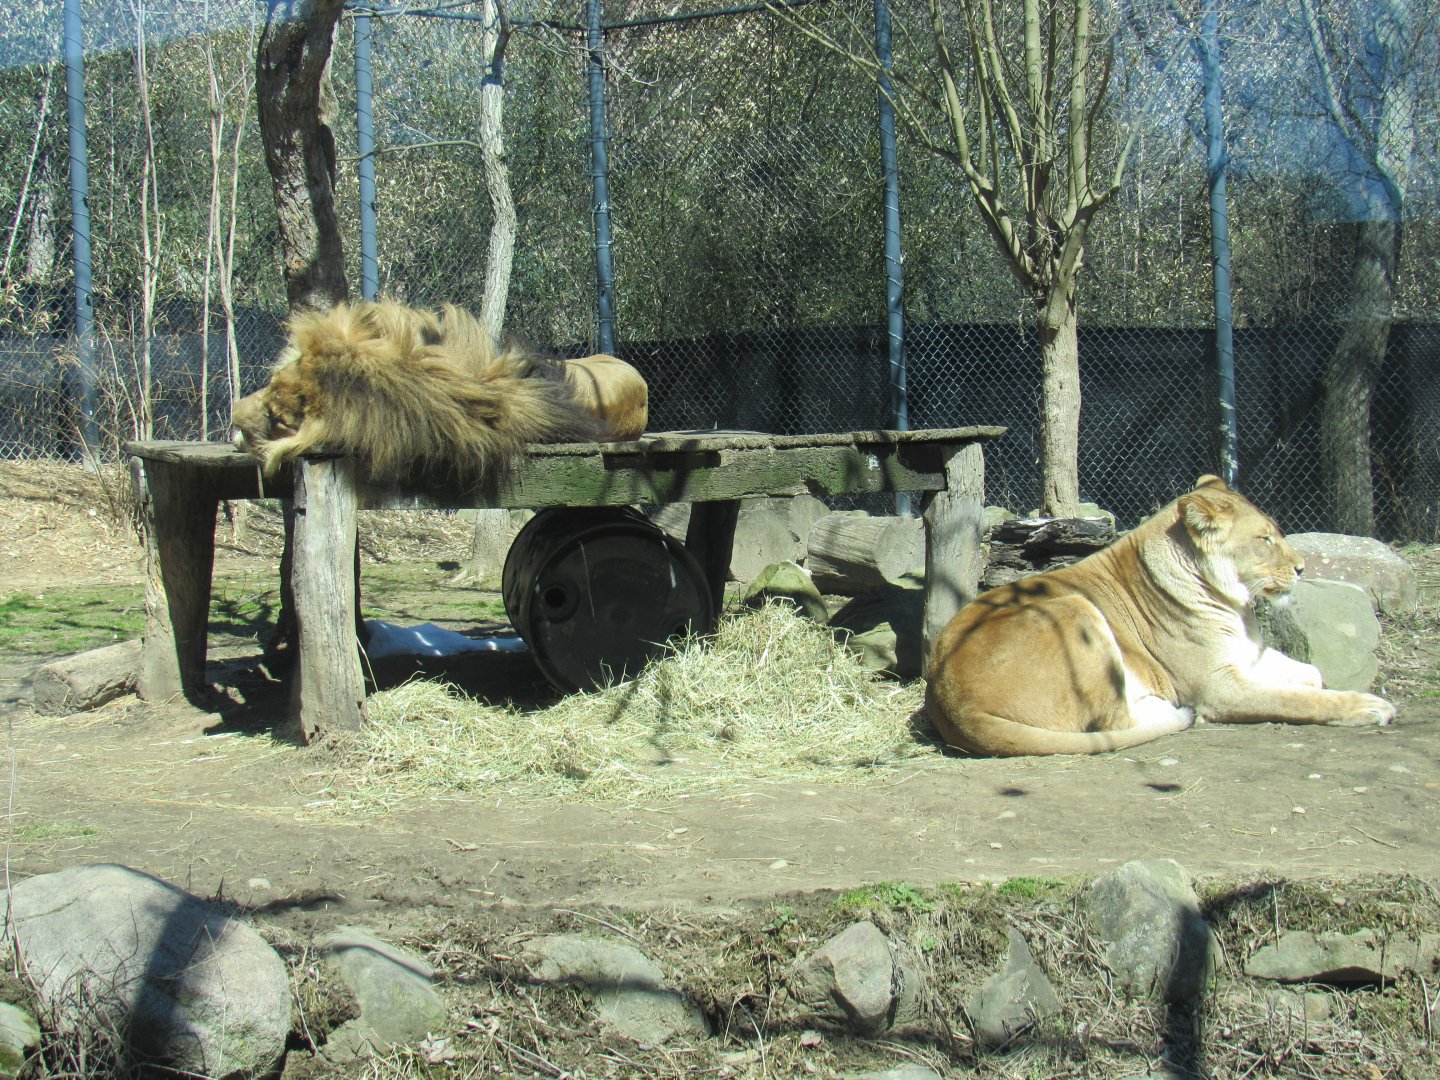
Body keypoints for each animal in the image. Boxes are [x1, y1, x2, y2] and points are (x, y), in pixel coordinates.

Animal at [924, 476, 1396, 757]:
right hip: (1073, 609)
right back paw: (1172, 710)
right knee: (1115, 722)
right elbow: (1296, 699)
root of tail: (953, 701)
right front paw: (1367, 706)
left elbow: (1311, 674)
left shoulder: (1247, 657)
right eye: (1265, 539)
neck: (1237, 605)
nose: (1301, 568)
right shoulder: (1217, 687)